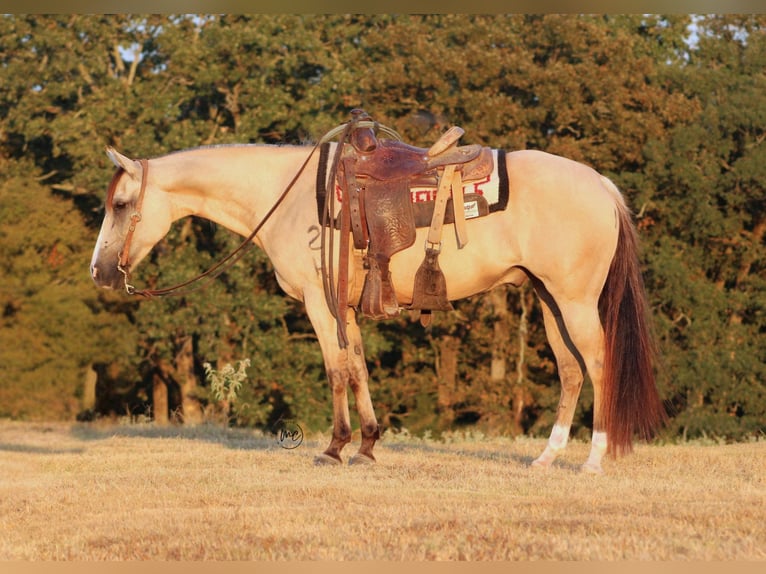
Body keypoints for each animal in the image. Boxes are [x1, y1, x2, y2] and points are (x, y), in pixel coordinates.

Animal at [90, 134, 666, 474]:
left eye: (120, 204)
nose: (99, 271)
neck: (289, 196)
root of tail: (601, 184)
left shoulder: (320, 304)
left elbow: (335, 370)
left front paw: (334, 447)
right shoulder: (345, 308)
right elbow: (359, 368)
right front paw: (367, 445)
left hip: (575, 300)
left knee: (598, 364)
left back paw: (593, 459)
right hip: (549, 300)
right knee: (570, 371)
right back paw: (547, 456)